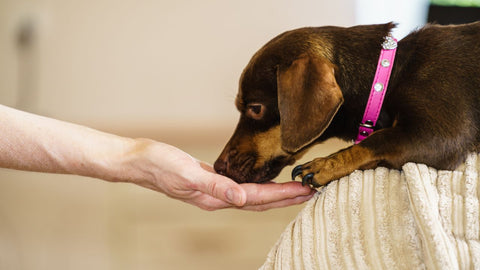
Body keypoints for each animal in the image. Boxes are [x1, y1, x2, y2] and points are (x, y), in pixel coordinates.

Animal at [214, 21, 480, 188]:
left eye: (255, 108)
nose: (217, 167)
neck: (390, 75)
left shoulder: (441, 136)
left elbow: (377, 140)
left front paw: (326, 164)